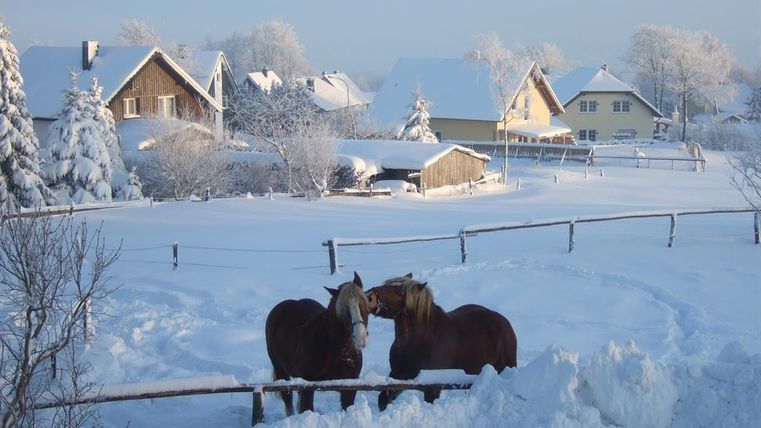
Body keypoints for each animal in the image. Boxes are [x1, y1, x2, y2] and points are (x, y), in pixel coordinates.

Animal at [265, 271, 370, 416]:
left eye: (364, 303)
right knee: (287, 399)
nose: (361, 337)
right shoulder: (308, 387)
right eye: (344, 309)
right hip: (281, 370)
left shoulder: (349, 388)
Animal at [366, 273, 517, 410]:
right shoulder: (399, 377)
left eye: (399, 292)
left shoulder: (432, 387)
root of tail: (505, 323)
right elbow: (383, 400)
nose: (368, 297)